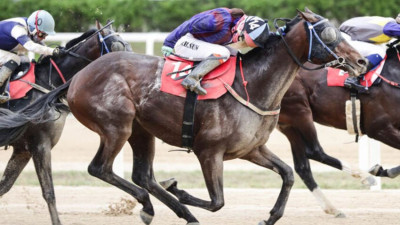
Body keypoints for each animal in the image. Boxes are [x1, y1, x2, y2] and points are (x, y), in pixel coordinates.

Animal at [0, 20, 130, 224]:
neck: (45, 83)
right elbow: (49, 192)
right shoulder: (40, 145)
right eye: (118, 45)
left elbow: (4, 186)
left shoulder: (23, 149)